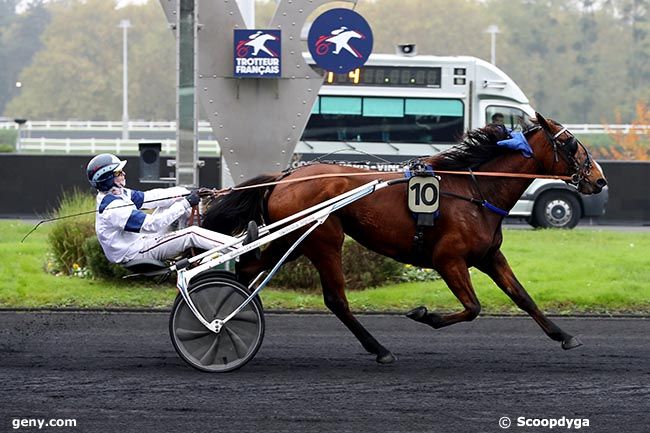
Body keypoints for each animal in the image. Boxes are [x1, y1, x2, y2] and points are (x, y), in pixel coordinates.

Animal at [201, 113, 604, 362]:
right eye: (571, 144)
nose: (599, 179)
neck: (475, 190)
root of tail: (284, 177)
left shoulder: (489, 257)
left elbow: (523, 297)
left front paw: (564, 335)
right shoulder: (448, 260)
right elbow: (473, 307)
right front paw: (423, 313)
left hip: (293, 241)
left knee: (249, 267)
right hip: (323, 241)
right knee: (336, 300)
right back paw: (379, 349)